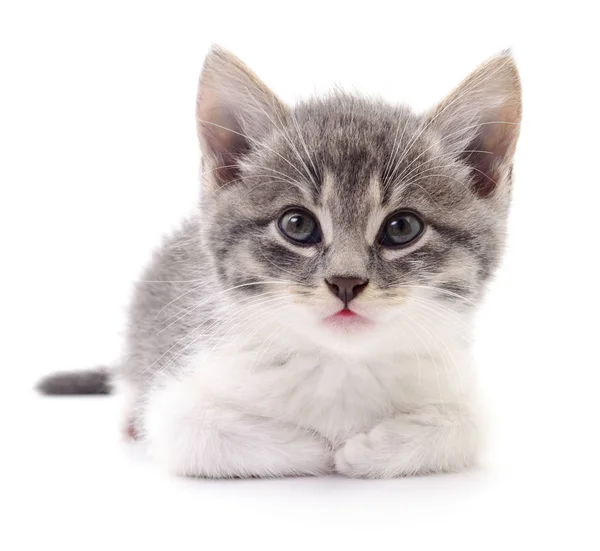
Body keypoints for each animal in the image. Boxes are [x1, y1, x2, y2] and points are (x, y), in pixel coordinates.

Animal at [39, 46, 524, 478]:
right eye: (297, 224)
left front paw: (368, 448)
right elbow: (199, 433)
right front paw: (317, 447)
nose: (345, 282)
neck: (339, 365)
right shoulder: (177, 395)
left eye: (402, 228)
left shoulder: (457, 381)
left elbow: (465, 426)